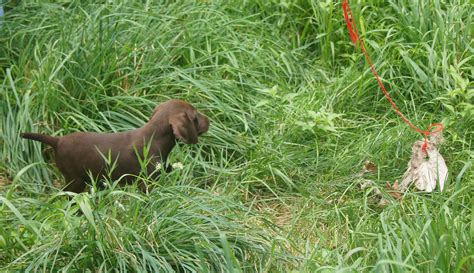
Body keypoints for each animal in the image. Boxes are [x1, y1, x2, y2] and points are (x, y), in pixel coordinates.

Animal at [20, 99, 209, 192]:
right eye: (196, 115)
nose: (210, 121)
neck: (154, 138)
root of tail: (58, 141)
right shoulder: (146, 182)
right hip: (74, 180)